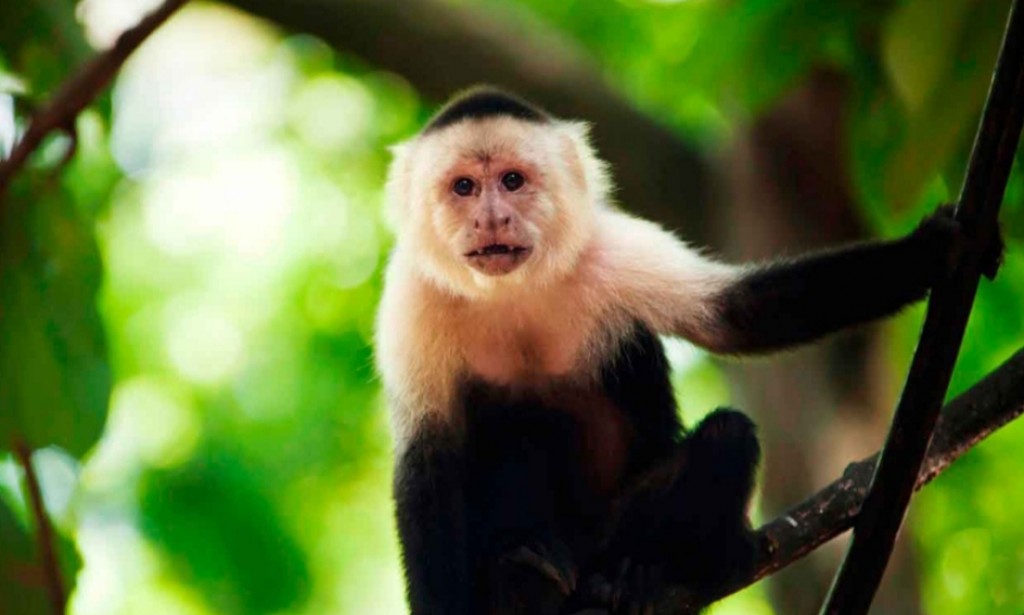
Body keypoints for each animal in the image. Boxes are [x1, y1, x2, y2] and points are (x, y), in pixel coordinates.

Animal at [374, 86, 1001, 614]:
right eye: (463, 187)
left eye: (511, 181)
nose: (492, 219)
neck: (514, 292)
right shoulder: (411, 302)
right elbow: (426, 466)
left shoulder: (612, 250)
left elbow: (738, 317)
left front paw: (932, 249)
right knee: (511, 427)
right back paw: (526, 577)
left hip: (608, 536)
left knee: (726, 436)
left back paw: (645, 574)